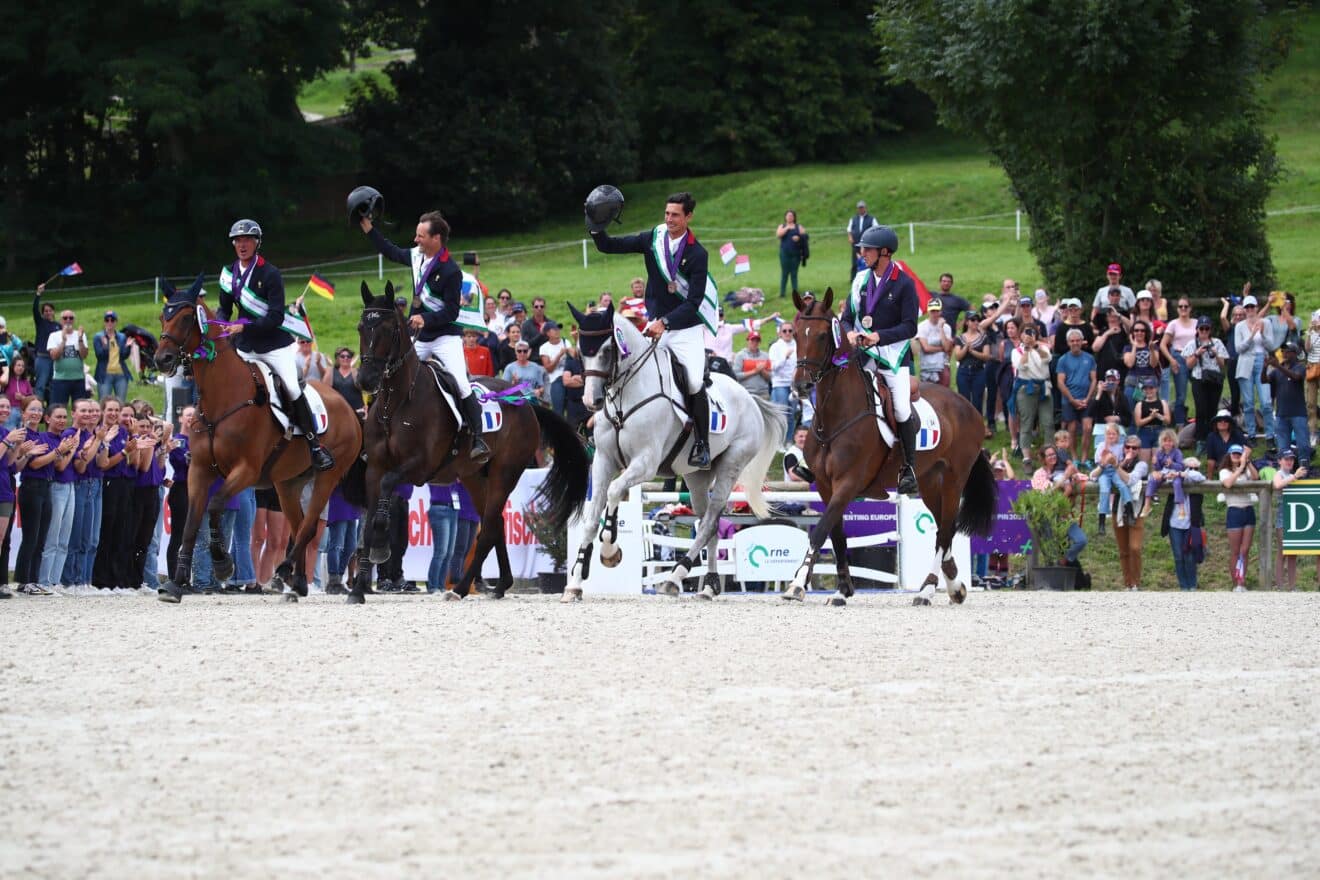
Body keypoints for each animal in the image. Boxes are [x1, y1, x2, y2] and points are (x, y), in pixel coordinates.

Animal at [151, 275, 364, 606]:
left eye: (186, 318)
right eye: (163, 316)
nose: (163, 359)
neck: (222, 399)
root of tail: (348, 406)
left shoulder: (246, 471)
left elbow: (215, 505)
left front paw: (223, 564)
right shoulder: (198, 470)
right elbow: (190, 525)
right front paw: (175, 585)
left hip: (328, 476)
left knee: (308, 526)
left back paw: (283, 572)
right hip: (288, 483)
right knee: (299, 524)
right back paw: (297, 584)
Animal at [356, 282, 594, 606]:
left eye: (388, 329)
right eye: (361, 328)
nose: (366, 380)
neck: (395, 404)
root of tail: (526, 403)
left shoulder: (418, 466)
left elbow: (387, 488)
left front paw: (380, 546)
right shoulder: (374, 468)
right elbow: (368, 520)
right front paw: (357, 588)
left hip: (504, 473)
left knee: (490, 527)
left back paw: (459, 588)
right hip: (473, 477)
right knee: (494, 524)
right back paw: (500, 584)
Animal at [564, 300, 781, 598]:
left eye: (607, 350)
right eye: (580, 351)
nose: (590, 399)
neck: (625, 397)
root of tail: (750, 398)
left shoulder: (645, 463)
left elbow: (614, 491)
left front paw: (610, 551)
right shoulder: (604, 461)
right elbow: (592, 514)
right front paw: (575, 582)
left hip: (731, 465)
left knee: (710, 521)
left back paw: (676, 576)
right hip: (697, 477)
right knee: (709, 524)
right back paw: (709, 586)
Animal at [781, 288, 992, 606]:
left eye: (821, 336)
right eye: (794, 334)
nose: (801, 386)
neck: (836, 414)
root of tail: (969, 407)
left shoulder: (848, 483)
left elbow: (819, 532)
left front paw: (796, 585)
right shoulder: (826, 486)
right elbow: (836, 534)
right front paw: (842, 590)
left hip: (954, 480)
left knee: (945, 531)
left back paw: (927, 590)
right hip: (930, 483)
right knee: (943, 529)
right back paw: (954, 584)